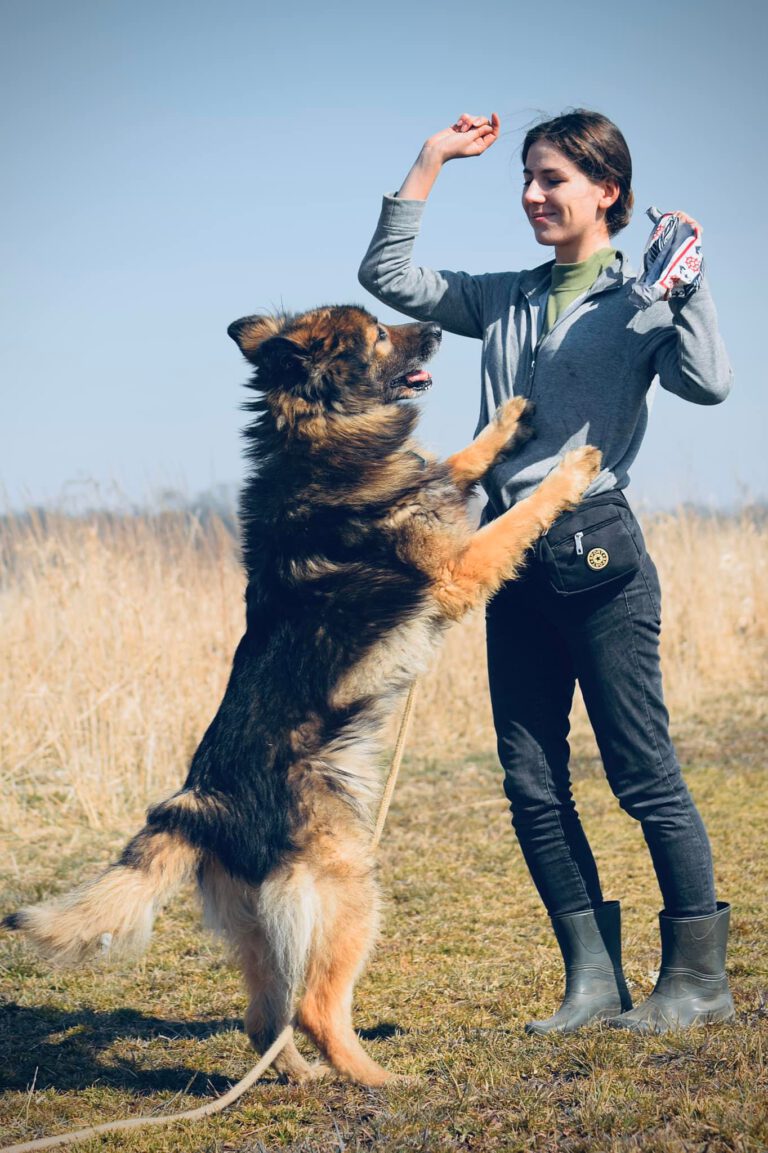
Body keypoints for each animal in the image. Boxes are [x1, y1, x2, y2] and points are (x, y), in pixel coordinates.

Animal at [2, 304, 599, 1079]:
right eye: (378, 335)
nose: (436, 333)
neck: (316, 439)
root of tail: (202, 802)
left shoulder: (434, 495)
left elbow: (454, 463)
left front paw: (508, 422)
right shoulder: (459, 570)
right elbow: (514, 518)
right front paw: (571, 470)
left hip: (262, 926)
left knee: (264, 1016)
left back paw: (300, 1077)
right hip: (349, 885)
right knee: (314, 1006)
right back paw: (378, 1077)